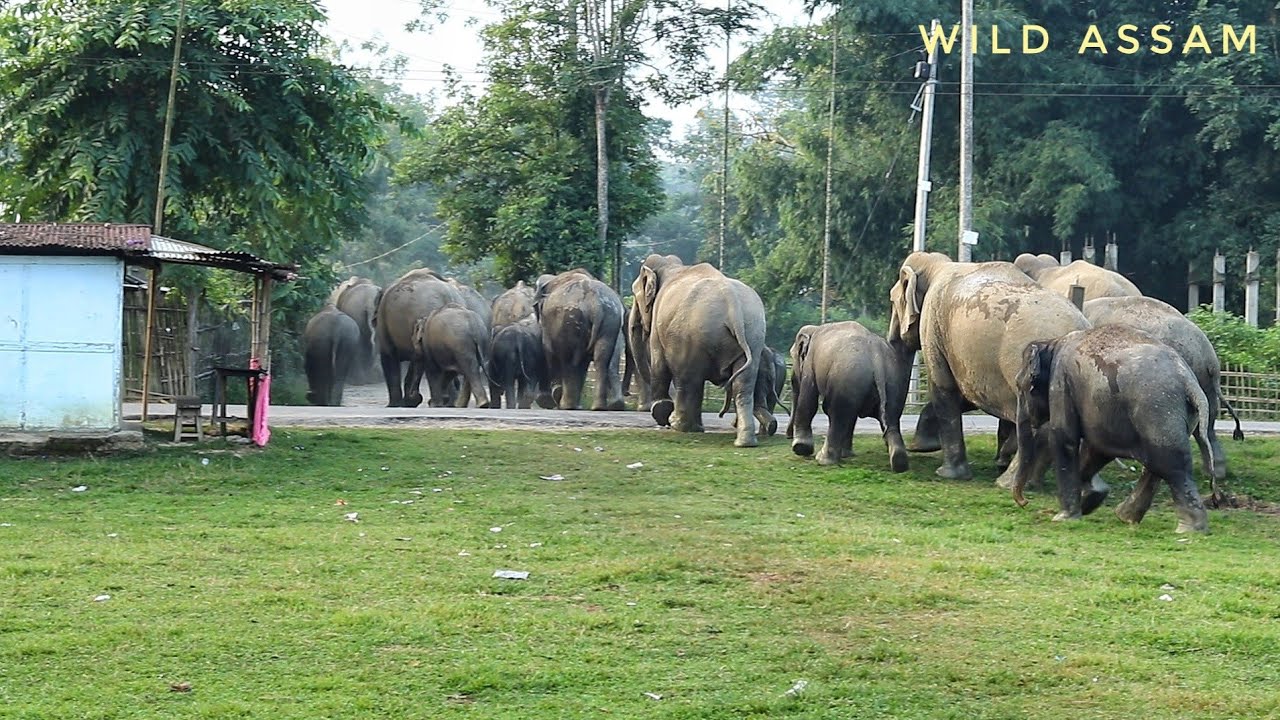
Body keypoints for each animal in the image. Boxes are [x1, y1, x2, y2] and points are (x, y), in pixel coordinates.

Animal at [533, 269, 627, 411]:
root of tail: (595, 302)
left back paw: (566, 405)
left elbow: (548, 350)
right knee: (601, 359)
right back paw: (601, 407)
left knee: (569, 361)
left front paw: (549, 399)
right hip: (610, 318)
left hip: (570, 318)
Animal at [632, 254, 772, 447]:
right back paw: (745, 442)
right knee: (743, 384)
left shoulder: (657, 326)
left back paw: (681, 426)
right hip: (753, 336)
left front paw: (661, 412)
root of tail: (733, 305)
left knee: (688, 380)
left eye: (634, 295)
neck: (671, 266)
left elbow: (659, 364)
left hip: (690, 337)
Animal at [788, 322, 911, 471]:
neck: (814, 328)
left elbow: (808, 399)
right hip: (894, 383)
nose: (788, 436)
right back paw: (899, 463)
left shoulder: (810, 363)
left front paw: (800, 448)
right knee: (891, 418)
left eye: (793, 356)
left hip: (847, 379)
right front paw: (846, 455)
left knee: (838, 415)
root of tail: (877, 358)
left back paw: (823, 459)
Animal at [886, 251, 1091, 483]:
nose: (902, 458)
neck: (938, 264)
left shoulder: (933, 325)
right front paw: (923, 447)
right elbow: (967, 394)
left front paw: (948, 474)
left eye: (892, 301)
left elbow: (944, 387)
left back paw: (1007, 481)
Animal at [1012, 325, 1214, 533]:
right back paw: (1126, 517)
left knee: (1171, 465)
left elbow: (1064, 437)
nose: (1024, 502)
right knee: (1158, 465)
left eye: (1019, 386)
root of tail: (1189, 382)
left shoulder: (1060, 380)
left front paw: (1063, 518)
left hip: (1157, 411)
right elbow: (1098, 448)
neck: (1052, 342)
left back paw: (1189, 529)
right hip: (1177, 416)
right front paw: (1092, 497)